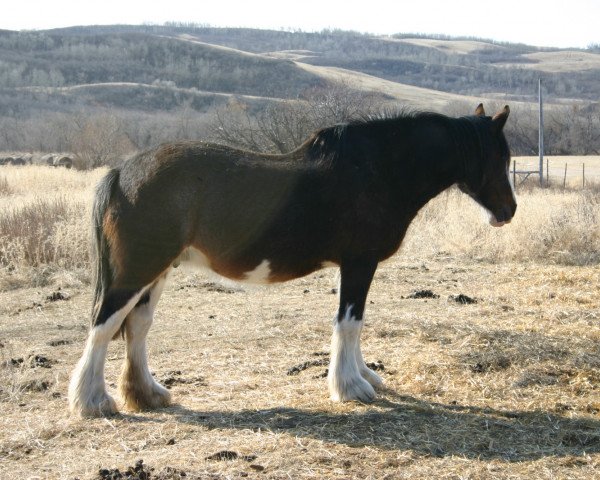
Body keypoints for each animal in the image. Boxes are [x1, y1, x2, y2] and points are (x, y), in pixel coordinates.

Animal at [67, 104, 516, 416]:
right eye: (500, 157)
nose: (508, 212)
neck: (379, 169)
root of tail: (122, 172)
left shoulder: (353, 267)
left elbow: (352, 322)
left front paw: (363, 376)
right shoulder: (359, 263)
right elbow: (349, 323)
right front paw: (351, 387)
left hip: (158, 271)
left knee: (137, 327)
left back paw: (147, 394)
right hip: (137, 270)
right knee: (103, 327)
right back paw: (93, 402)